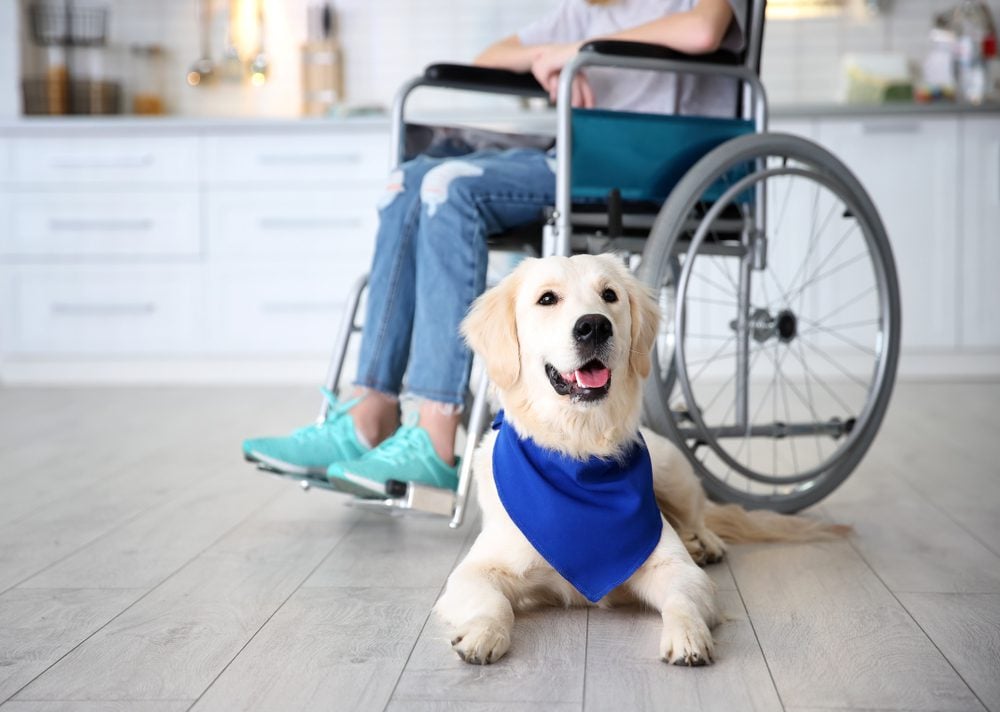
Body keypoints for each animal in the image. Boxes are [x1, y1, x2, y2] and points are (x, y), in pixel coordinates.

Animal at [438, 253, 844, 664]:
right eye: (547, 299)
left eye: (609, 295)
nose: (594, 325)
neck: (580, 449)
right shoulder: (474, 570)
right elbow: (492, 602)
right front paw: (483, 634)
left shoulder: (676, 568)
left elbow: (683, 598)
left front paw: (688, 635)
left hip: (671, 470)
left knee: (698, 515)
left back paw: (704, 542)